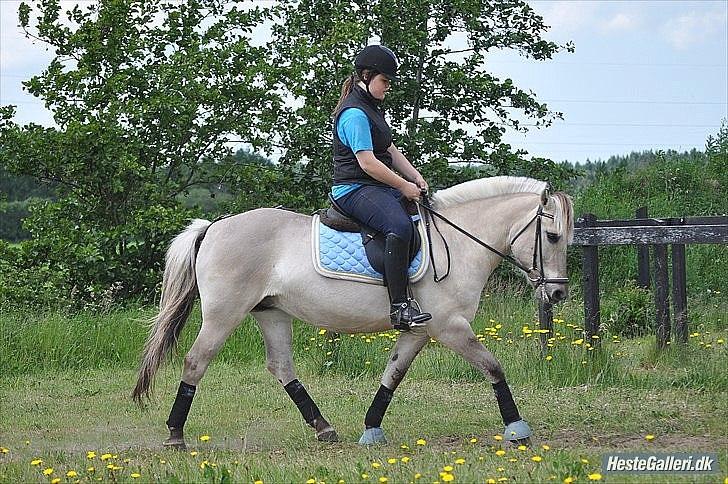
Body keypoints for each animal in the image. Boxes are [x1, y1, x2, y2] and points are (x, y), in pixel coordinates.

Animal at [132, 176, 576, 448]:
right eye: (553, 236)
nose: (556, 294)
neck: (458, 242)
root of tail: (213, 226)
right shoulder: (451, 327)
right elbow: (493, 367)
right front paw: (517, 428)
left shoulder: (417, 330)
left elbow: (392, 375)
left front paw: (371, 428)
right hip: (225, 313)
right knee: (196, 361)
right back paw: (175, 434)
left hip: (271, 313)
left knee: (281, 367)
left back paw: (324, 427)